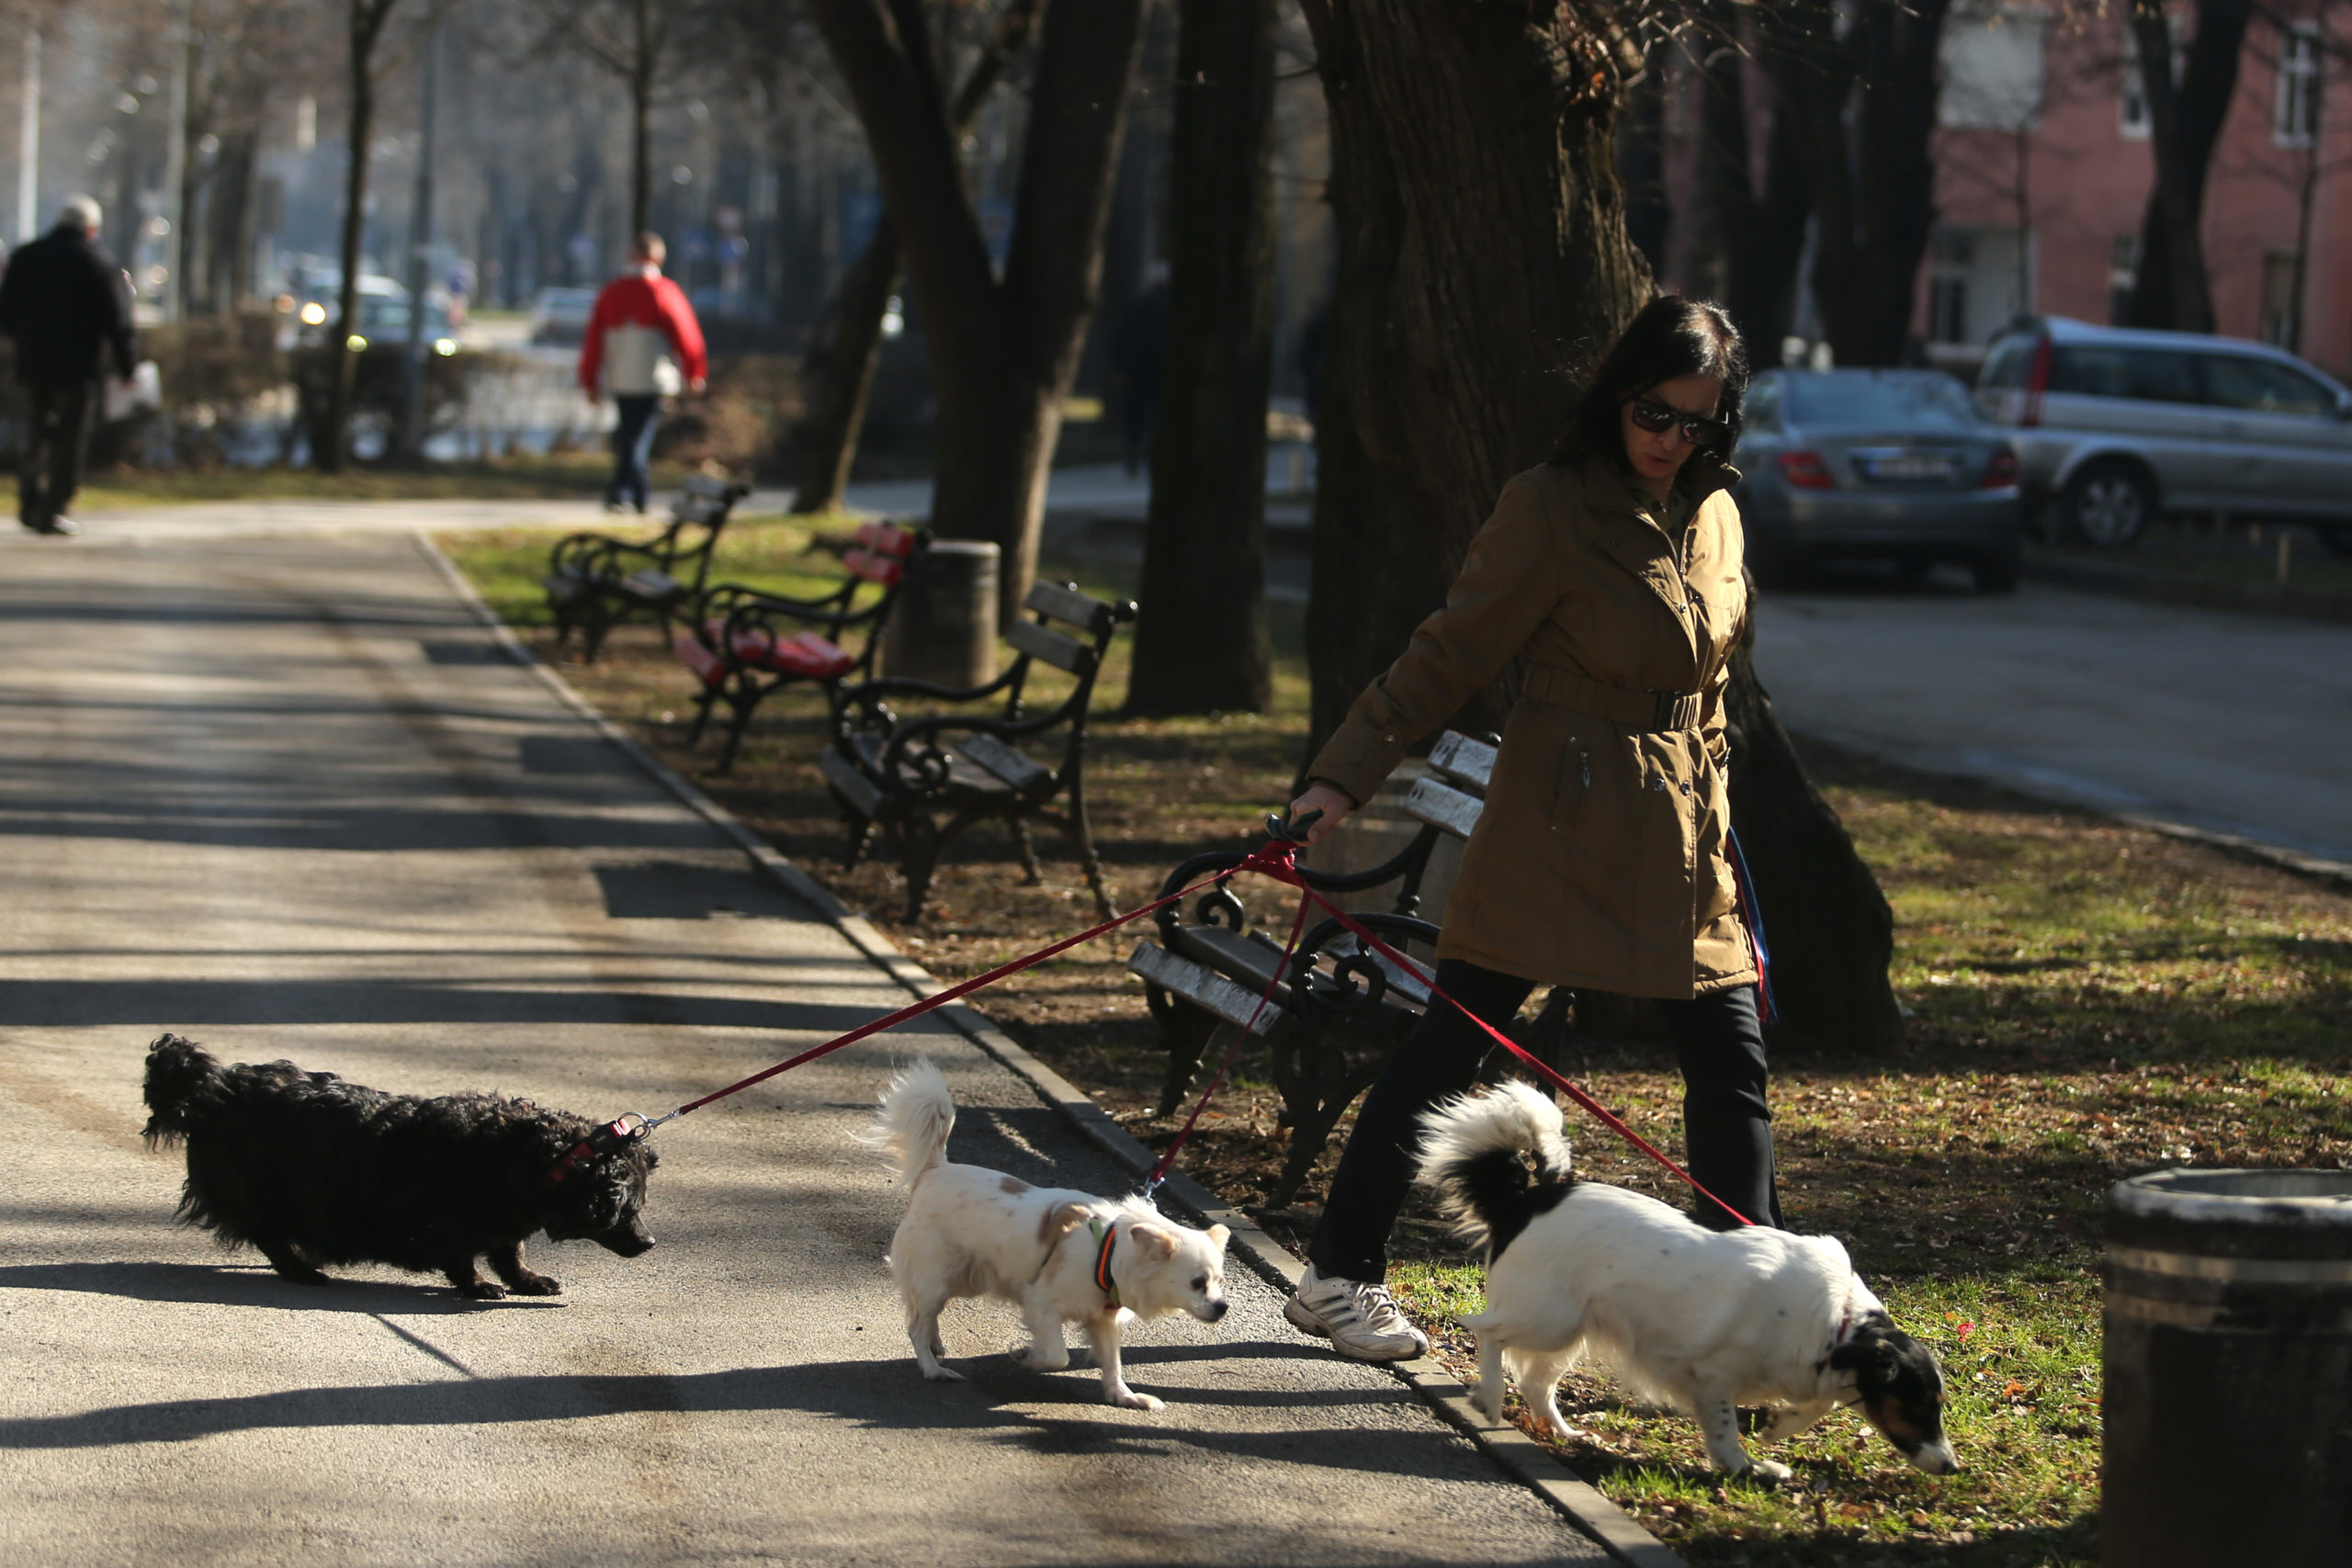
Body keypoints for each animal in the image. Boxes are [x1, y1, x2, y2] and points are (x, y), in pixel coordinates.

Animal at [865, 1066, 1232, 1410]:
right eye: (1197, 1283)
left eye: (1219, 1282)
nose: (1223, 1307)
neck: (1108, 1250)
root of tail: (936, 1169)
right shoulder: (1041, 1304)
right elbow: (1058, 1356)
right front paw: (1026, 1356)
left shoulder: (1102, 1318)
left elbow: (1112, 1363)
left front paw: (1124, 1396)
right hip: (937, 1277)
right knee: (916, 1324)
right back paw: (933, 1369)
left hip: (962, 1279)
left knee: (925, 1316)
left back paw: (936, 1345)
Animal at [1420, 1081, 1956, 1485]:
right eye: (1920, 1404)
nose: (1951, 1467)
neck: (1838, 1324)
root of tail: (1526, 1200)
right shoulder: (1711, 1375)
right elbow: (1726, 1432)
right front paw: (1747, 1466)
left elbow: (1817, 1401)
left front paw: (1779, 1427)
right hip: (1549, 1320)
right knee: (1488, 1333)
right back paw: (1489, 1398)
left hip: (1571, 1329)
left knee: (1534, 1382)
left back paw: (1568, 1435)